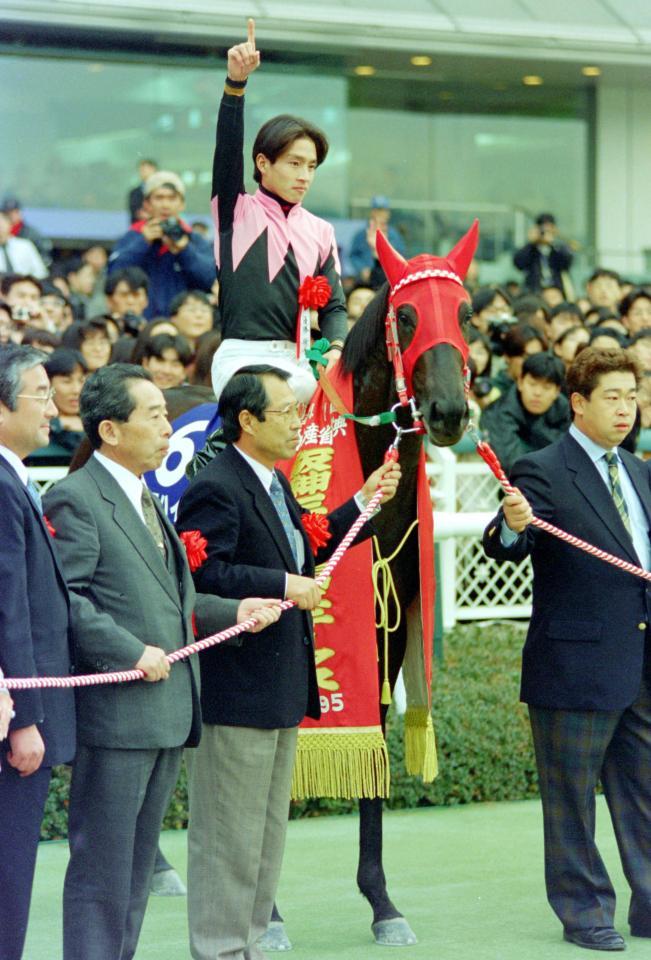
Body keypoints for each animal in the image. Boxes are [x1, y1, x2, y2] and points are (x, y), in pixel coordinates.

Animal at [268, 221, 482, 948]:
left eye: (465, 313)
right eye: (408, 316)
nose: (447, 412)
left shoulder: (388, 626)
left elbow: (375, 747)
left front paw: (382, 903)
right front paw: (266, 913)